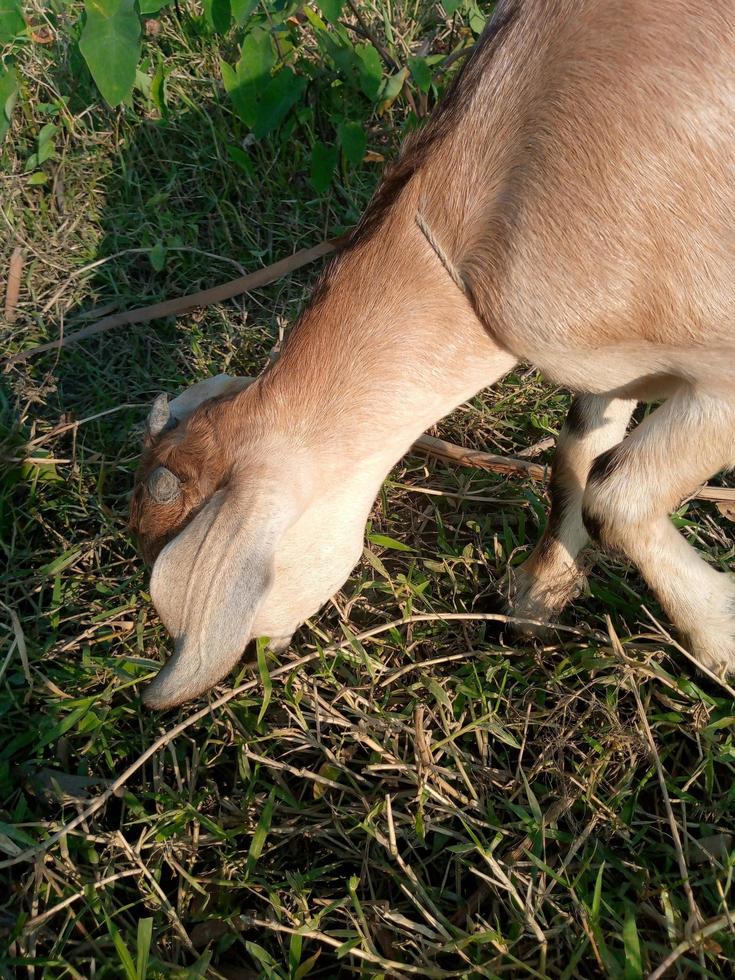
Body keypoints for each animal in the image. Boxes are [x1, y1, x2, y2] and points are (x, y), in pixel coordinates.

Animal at [129, 0, 732, 708]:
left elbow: (616, 496)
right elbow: (577, 455)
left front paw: (721, 639)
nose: (260, 659)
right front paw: (533, 600)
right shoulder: (607, 355)